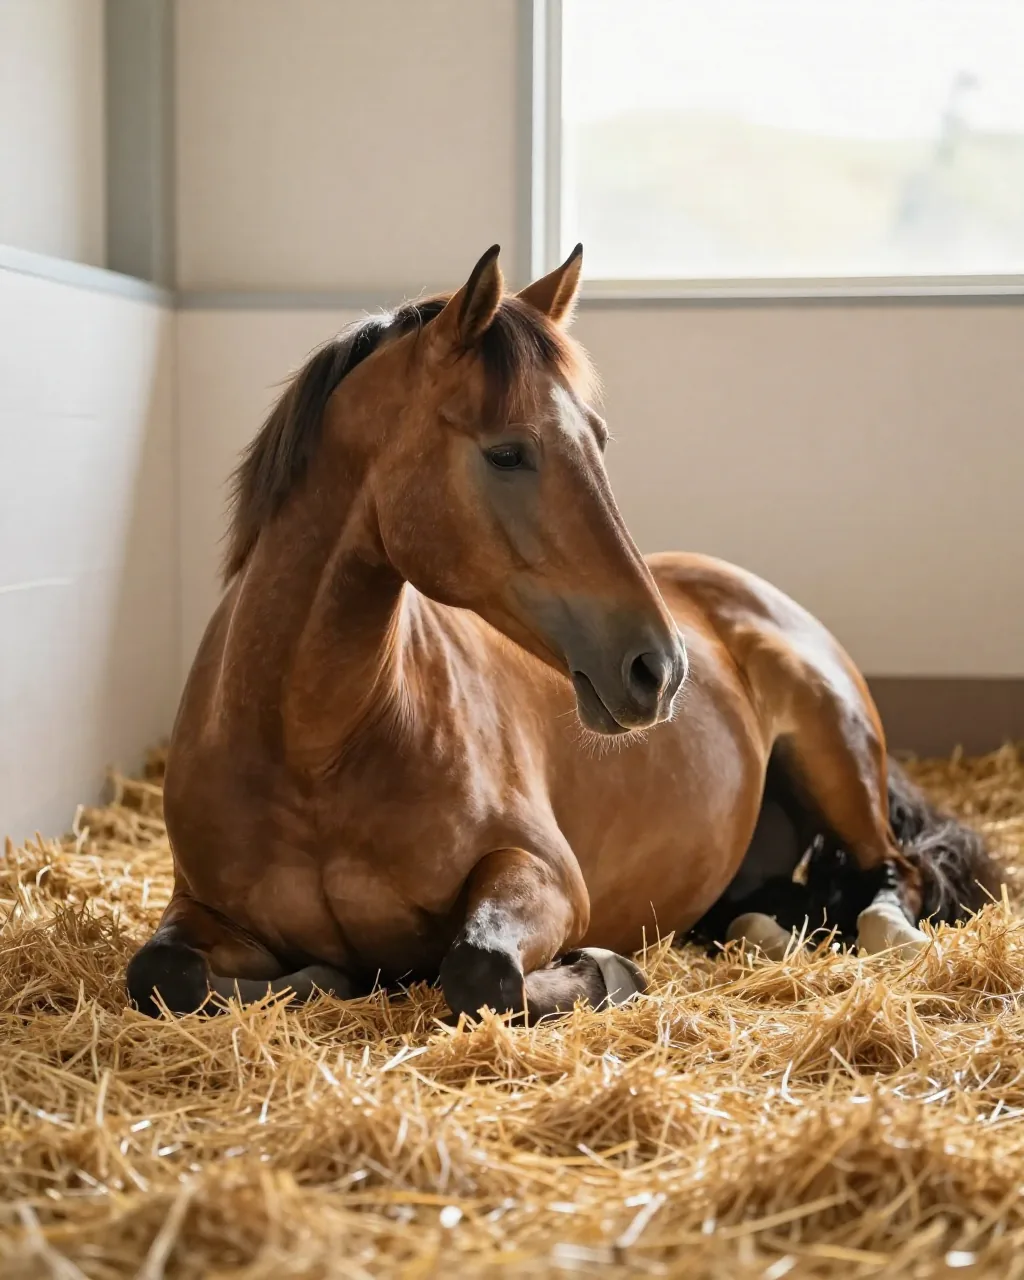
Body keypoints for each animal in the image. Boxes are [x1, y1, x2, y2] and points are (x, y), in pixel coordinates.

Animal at [127, 244, 996, 1021]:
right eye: (509, 452)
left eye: (598, 441)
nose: (660, 667)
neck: (313, 747)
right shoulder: (199, 906)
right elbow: (162, 973)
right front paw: (324, 978)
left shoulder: (543, 875)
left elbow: (479, 969)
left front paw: (608, 970)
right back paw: (768, 938)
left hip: (833, 754)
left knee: (893, 876)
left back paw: (894, 941)